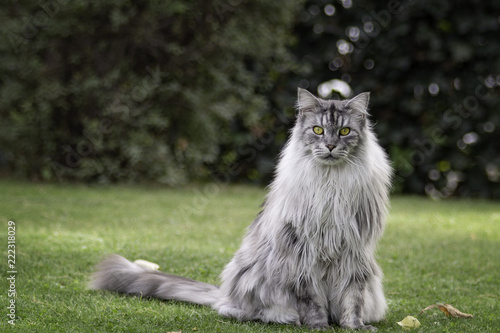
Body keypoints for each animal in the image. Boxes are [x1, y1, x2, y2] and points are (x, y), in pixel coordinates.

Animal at [91, 87, 394, 330]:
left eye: (344, 131)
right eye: (318, 130)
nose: (330, 146)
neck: (332, 186)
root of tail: (225, 293)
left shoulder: (354, 254)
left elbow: (352, 298)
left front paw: (354, 326)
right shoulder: (301, 254)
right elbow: (312, 301)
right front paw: (318, 326)